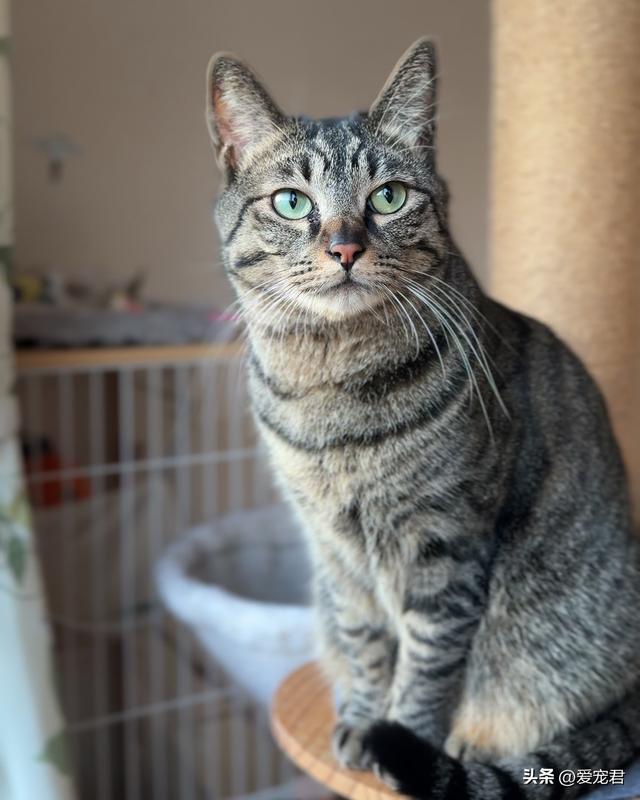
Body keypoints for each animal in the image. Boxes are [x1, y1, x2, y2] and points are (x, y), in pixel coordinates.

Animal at [205, 38, 640, 799]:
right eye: (292, 202)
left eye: (389, 196)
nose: (345, 247)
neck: (330, 389)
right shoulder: (335, 552)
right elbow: (364, 642)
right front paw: (360, 717)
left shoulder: (444, 540)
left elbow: (426, 661)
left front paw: (401, 738)